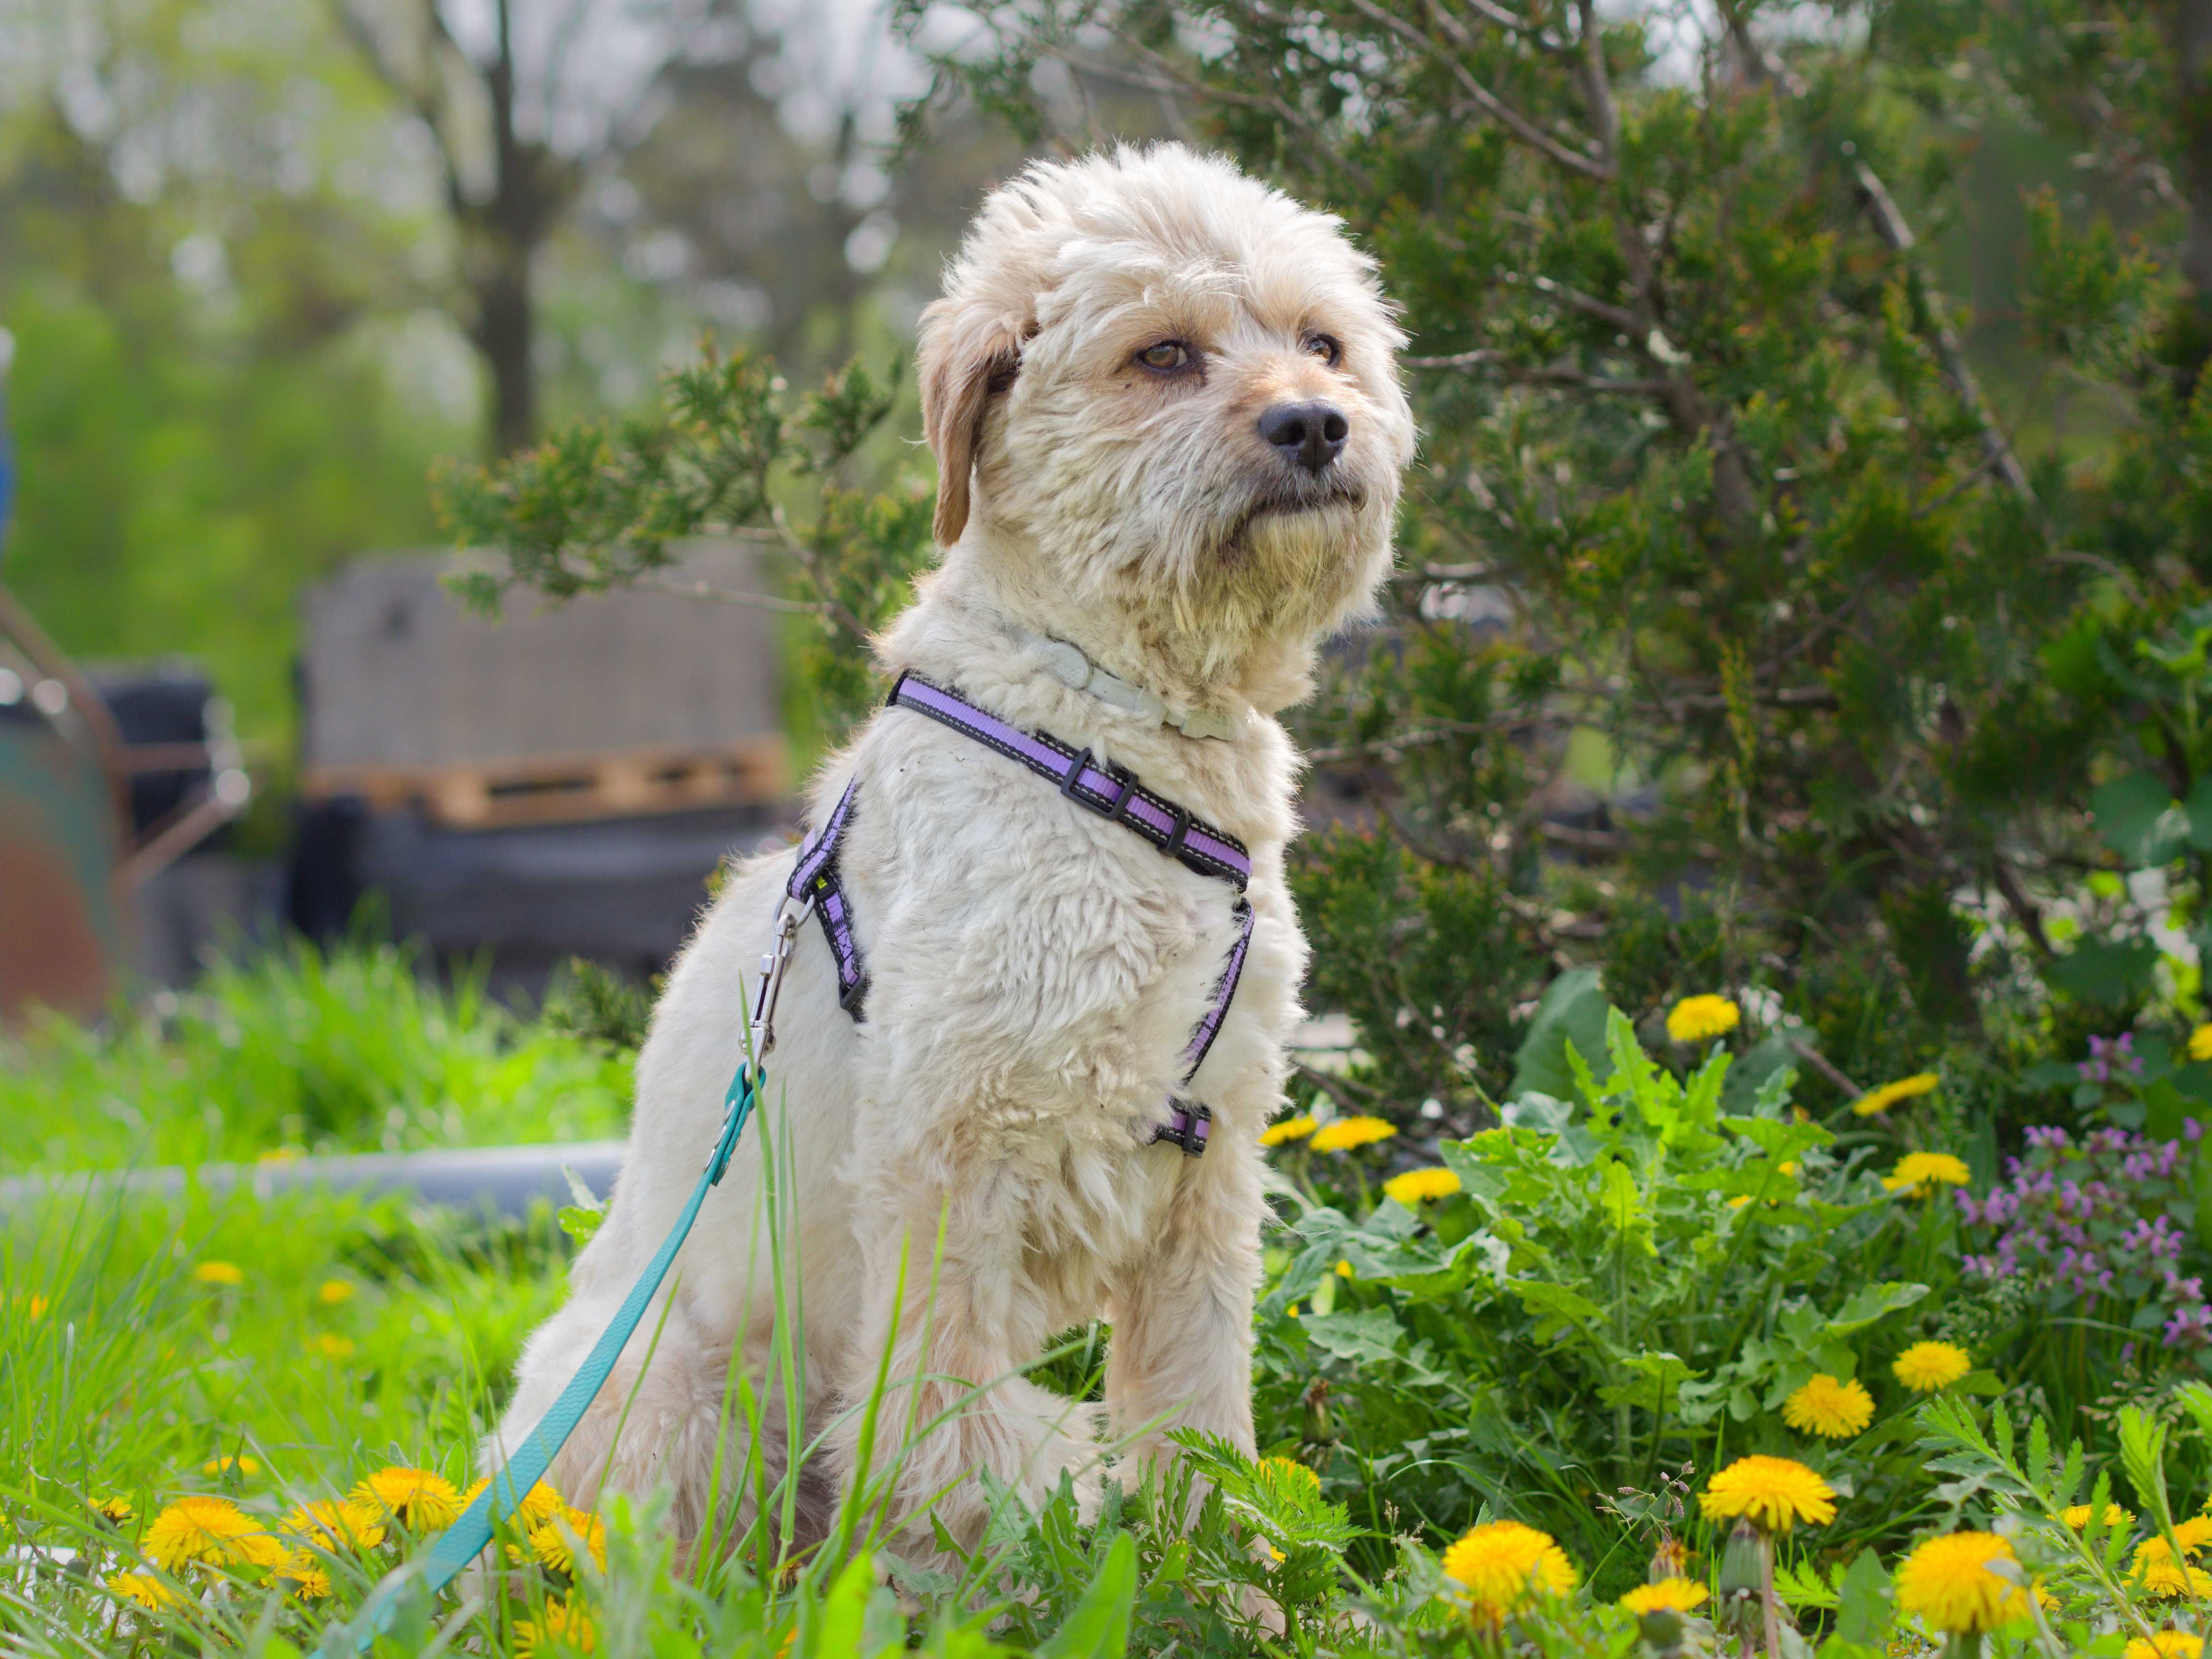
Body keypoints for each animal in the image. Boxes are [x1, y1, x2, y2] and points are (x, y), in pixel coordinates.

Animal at [491, 140, 1407, 1557]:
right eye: (1164, 354)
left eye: (1325, 342)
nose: (1317, 424)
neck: (1116, 739)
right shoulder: (947, 1164)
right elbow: (947, 1444)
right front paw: (975, 1580)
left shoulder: (1207, 1176)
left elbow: (1198, 1424)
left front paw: (1229, 1586)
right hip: (685, 1380)